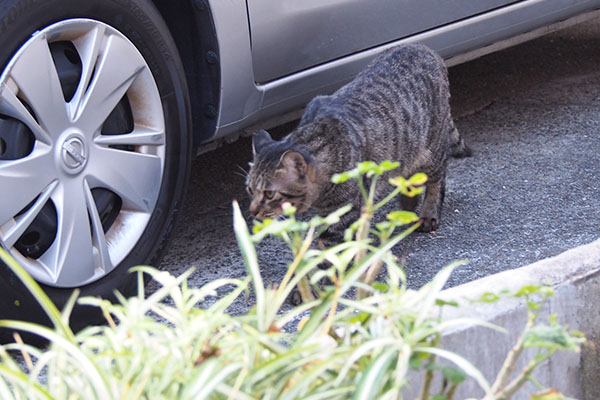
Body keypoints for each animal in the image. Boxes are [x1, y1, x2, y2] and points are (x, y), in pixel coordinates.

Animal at [246, 43, 472, 244]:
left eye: (269, 193)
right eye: (249, 189)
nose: (252, 210)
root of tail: (425, 48)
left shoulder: (347, 210)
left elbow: (328, 245)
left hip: (432, 149)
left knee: (437, 179)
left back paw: (427, 214)